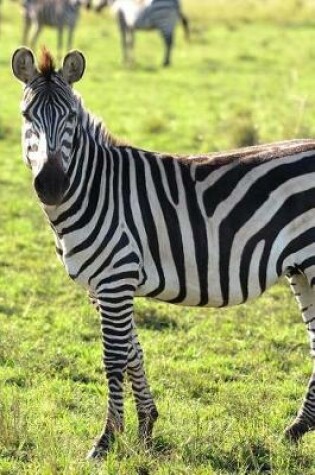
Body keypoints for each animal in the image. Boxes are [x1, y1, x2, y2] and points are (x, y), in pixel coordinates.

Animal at [12, 46, 315, 460]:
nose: (52, 185)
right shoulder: (103, 287)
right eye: (27, 116)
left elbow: (114, 358)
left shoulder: (115, 279)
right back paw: (297, 429)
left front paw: (106, 440)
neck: (95, 188)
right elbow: (133, 353)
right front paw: (146, 428)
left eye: (71, 116)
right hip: (300, 270)